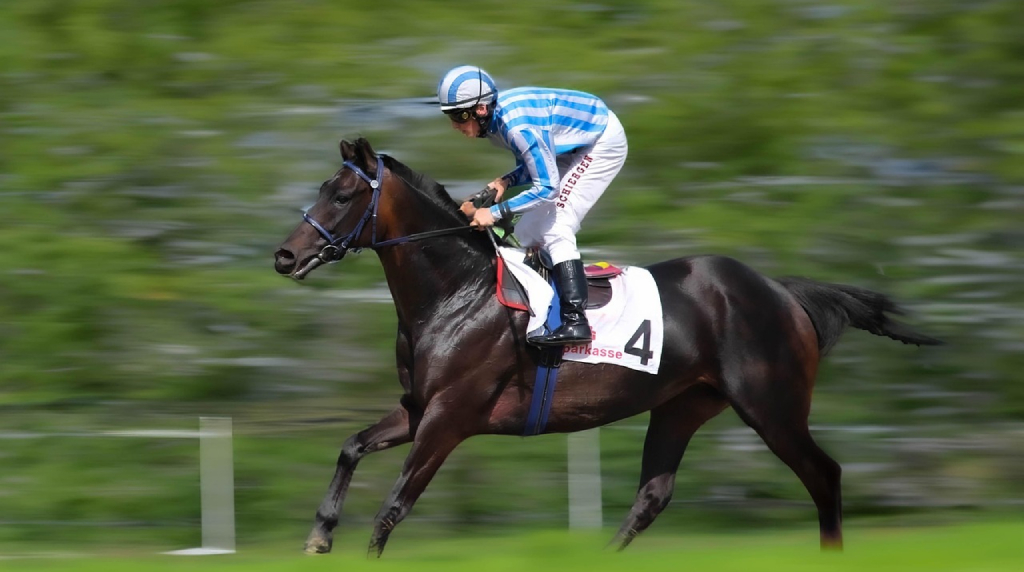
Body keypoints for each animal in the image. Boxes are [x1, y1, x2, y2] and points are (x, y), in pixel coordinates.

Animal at [273, 137, 941, 557]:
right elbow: (351, 447)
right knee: (653, 495)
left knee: (823, 474)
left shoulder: (450, 417)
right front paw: (319, 535)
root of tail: (780, 289)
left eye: (341, 195)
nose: (284, 255)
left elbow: (393, 506)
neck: (456, 293)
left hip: (770, 405)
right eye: (325, 188)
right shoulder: (418, 409)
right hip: (681, 405)